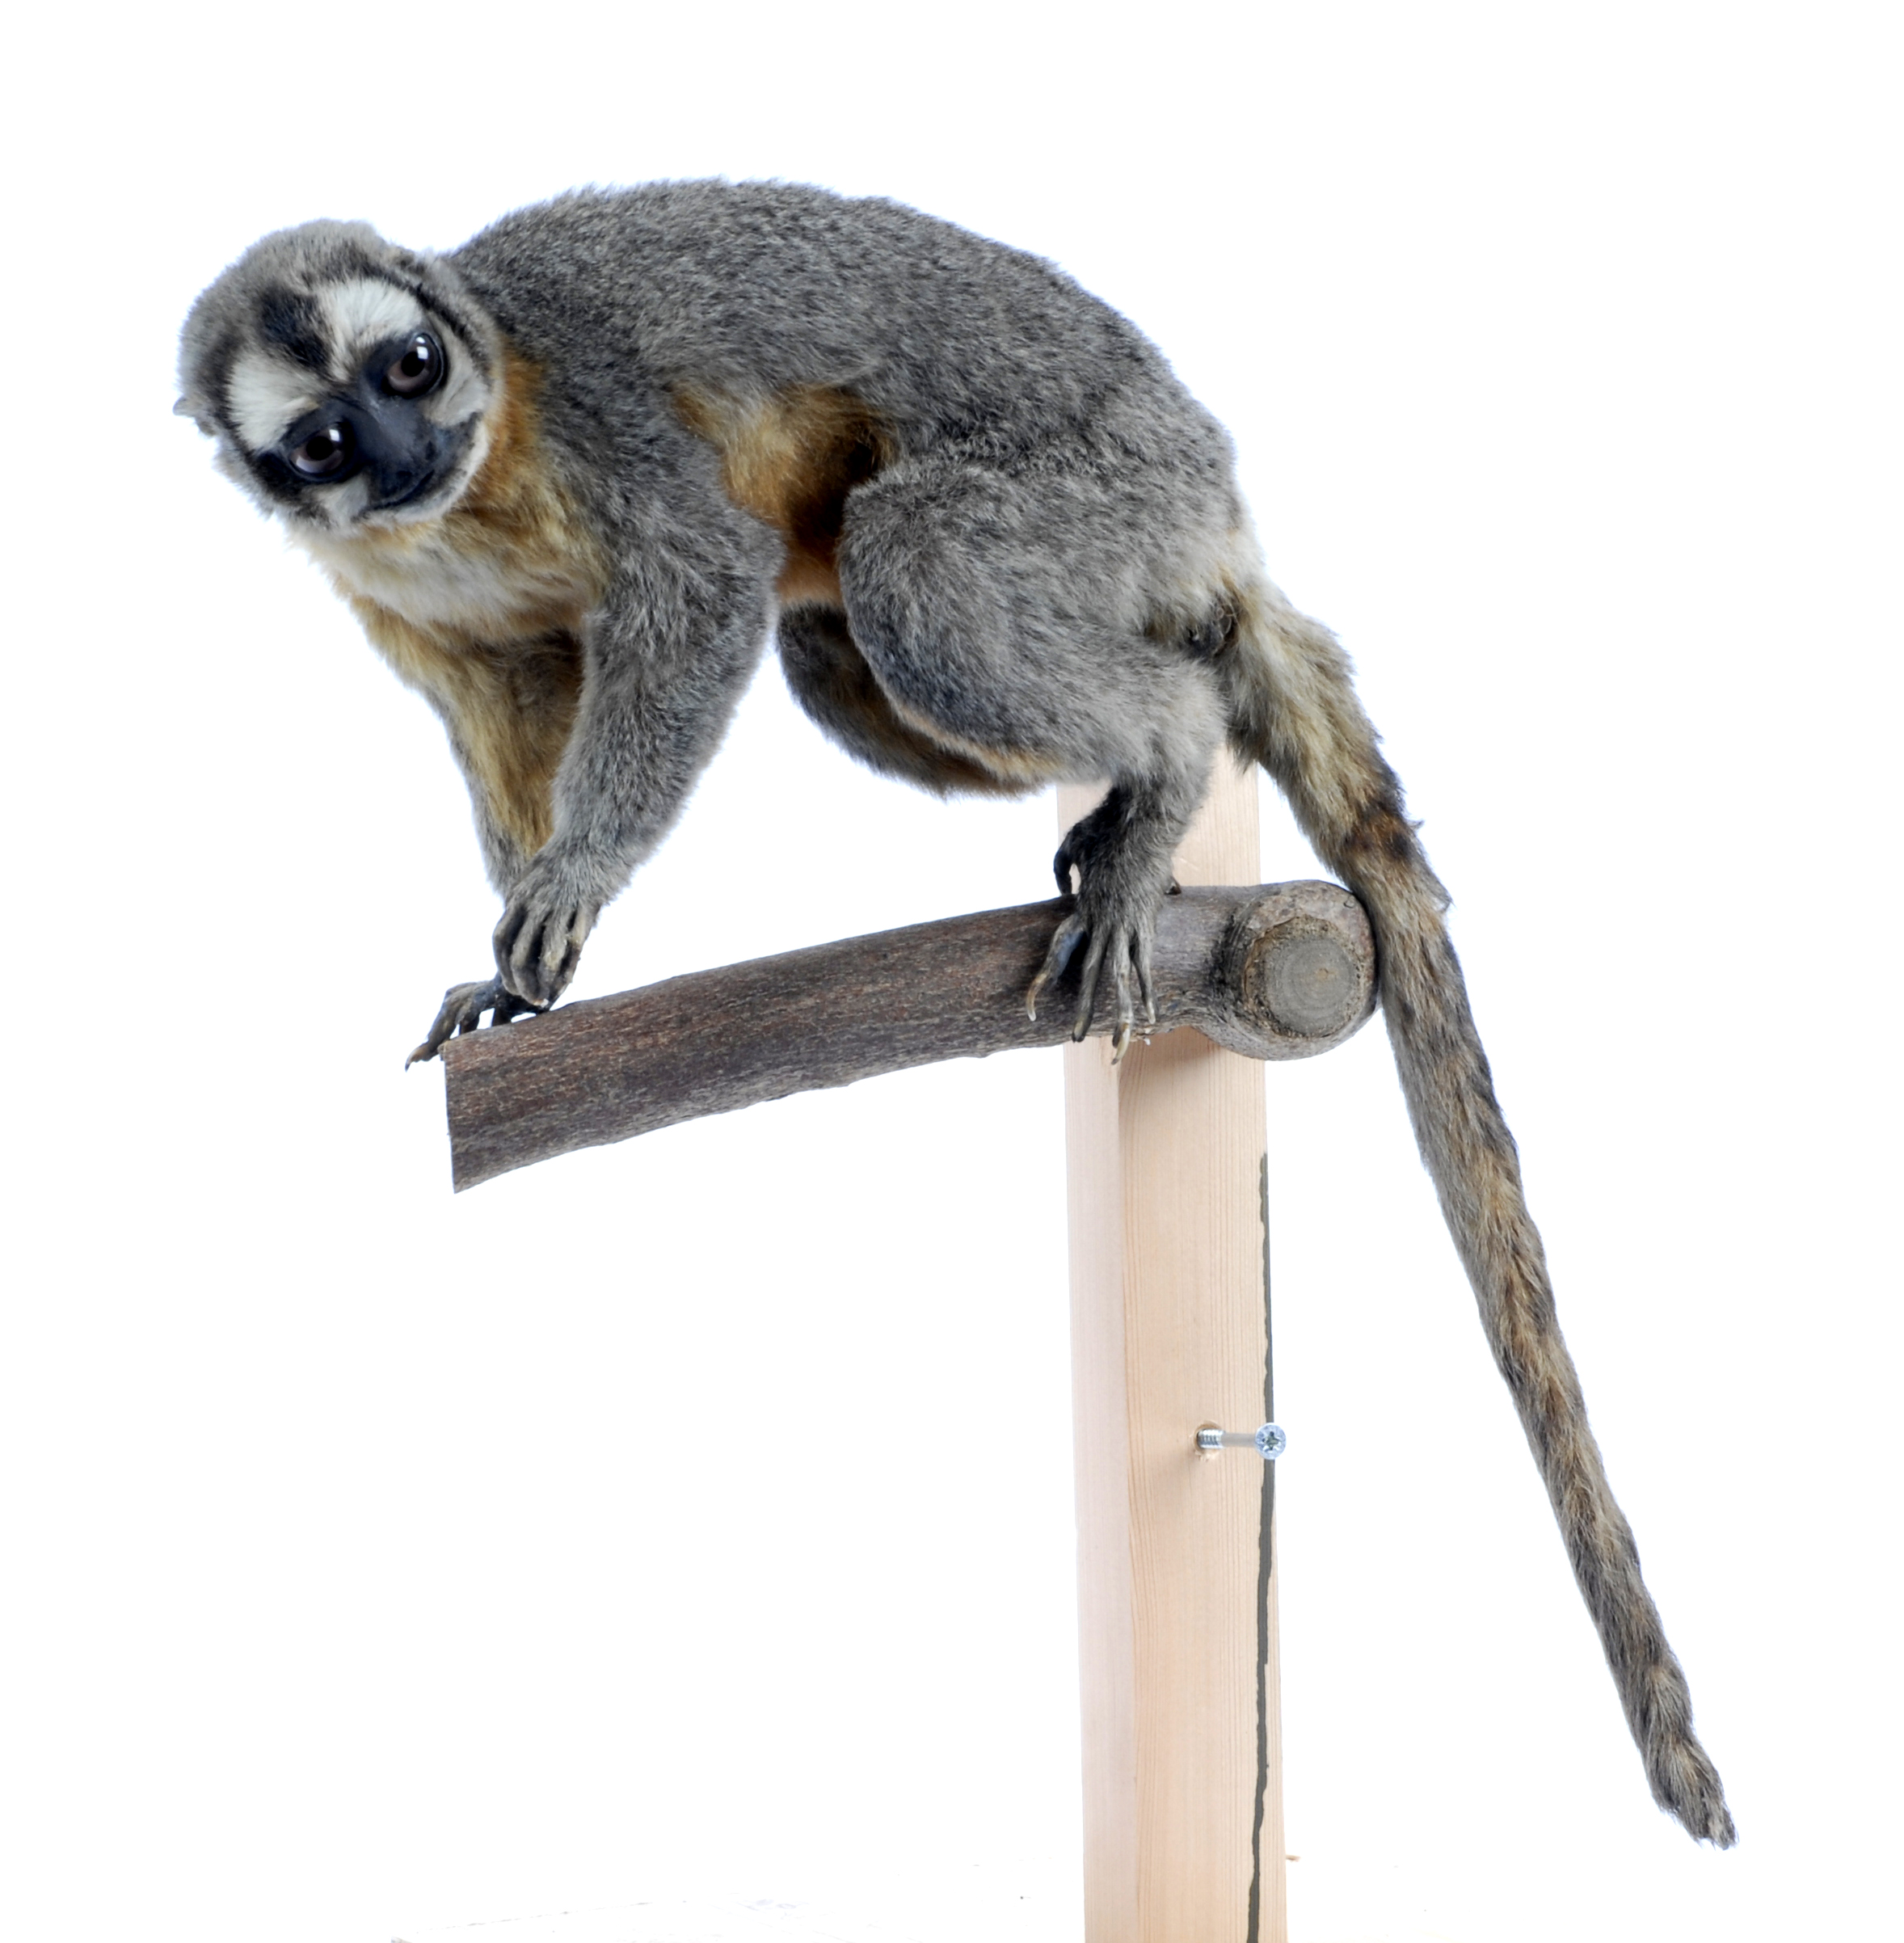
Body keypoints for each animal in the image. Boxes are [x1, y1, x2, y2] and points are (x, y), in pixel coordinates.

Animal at [176, 180, 1732, 1844]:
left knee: (907, 567)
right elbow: (516, 688)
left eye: (408, 366)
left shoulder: (595, 423)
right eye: (323, 441)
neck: (476, 482)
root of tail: (1217, 514)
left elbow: (707, 583)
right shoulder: (403, 603)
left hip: (1115, 495)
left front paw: (576, 883)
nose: (404, 446)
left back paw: (1164, 765)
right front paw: (526, 991)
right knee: (838, 645)